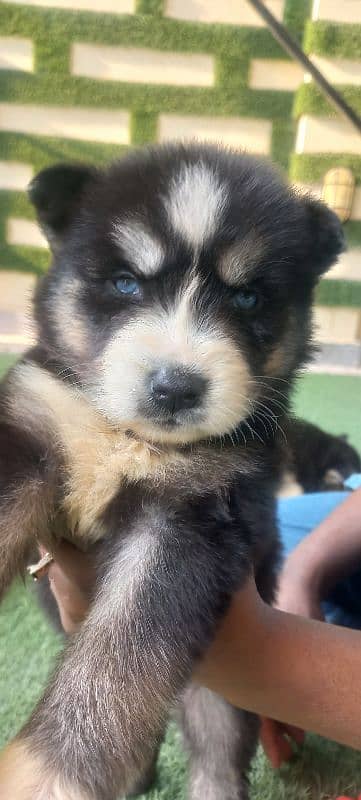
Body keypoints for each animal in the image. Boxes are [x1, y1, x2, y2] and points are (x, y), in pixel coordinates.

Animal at [0, 144, 344, 800]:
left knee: (217, 749)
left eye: (246, 297)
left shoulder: (190, 518)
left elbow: (117, 660)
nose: (175, 388)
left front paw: (42, 777)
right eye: (125, 283)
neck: (128, 439)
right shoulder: (32, 429)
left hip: (228, 686)